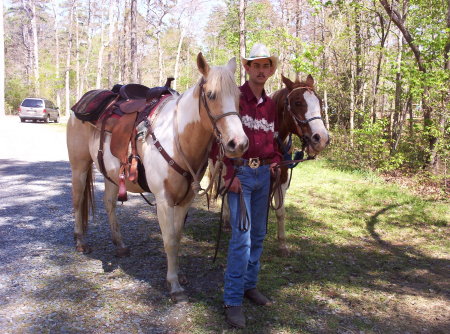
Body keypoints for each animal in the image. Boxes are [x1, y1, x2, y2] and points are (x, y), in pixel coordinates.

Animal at [67, 53, 250, 302]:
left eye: (239, 97)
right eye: (212, 95)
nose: (238, 143)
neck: (177, 139)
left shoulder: (185, 200)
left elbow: (178, 236)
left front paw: (179, 275)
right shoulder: (164, 201)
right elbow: (169, 240)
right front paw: (174, 285)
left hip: (111, 174)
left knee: (109, 204)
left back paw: (120, 244)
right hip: (80, 166)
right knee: (77, 201)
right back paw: (80, 242)